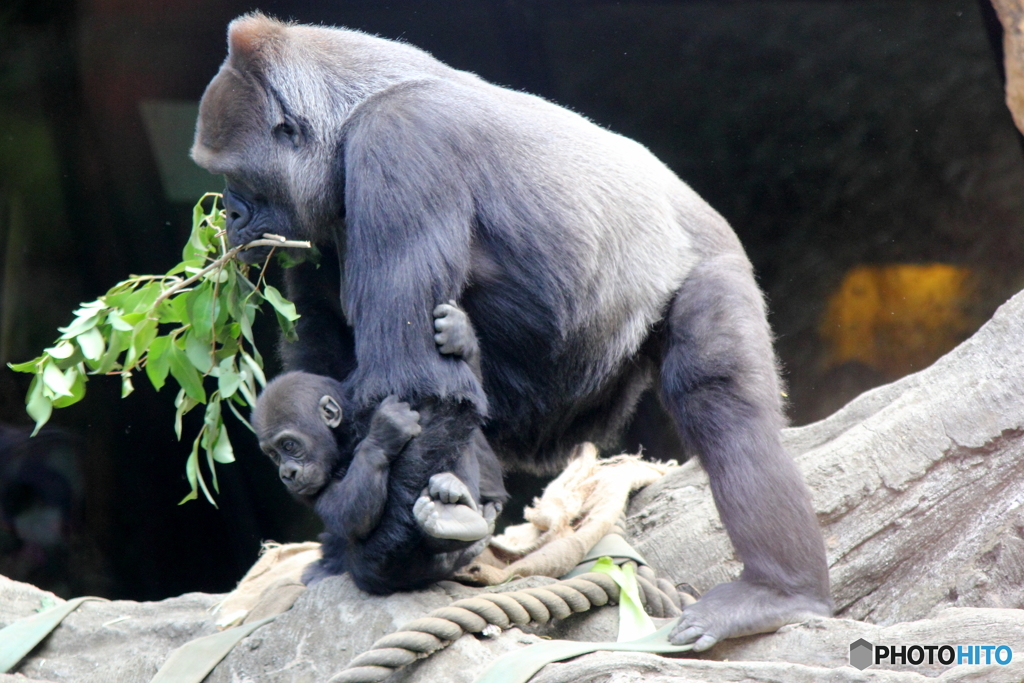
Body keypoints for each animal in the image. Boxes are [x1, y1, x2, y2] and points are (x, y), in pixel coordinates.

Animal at [190, 13, 831, 651]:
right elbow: (327, 362)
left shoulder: (399, 142)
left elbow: (421, 389)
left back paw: (777, 590)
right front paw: (342, 550)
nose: (230, 217)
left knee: (721, 400)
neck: (349, 108)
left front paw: (387, 562)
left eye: (235, 175)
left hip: (710, 262)